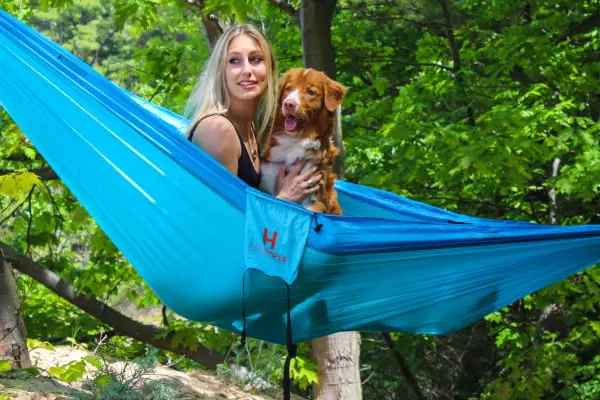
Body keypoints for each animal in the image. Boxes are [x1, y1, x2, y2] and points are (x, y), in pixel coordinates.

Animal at [258, 67, 346, 214]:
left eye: (311, 92)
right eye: (288, 88)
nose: (288, 104)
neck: (294, 141)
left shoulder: (313, 197)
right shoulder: (268, 177)